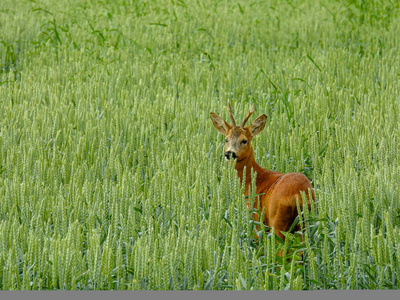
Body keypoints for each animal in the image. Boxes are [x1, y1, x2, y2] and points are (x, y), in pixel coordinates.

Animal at [209, 102, 316, 247]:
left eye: (244, 140)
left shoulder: (255, 217)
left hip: (278, 220)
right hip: (306, 223)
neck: (254, 179)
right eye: (226, 139)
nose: (229, 154)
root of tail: (298, 195)